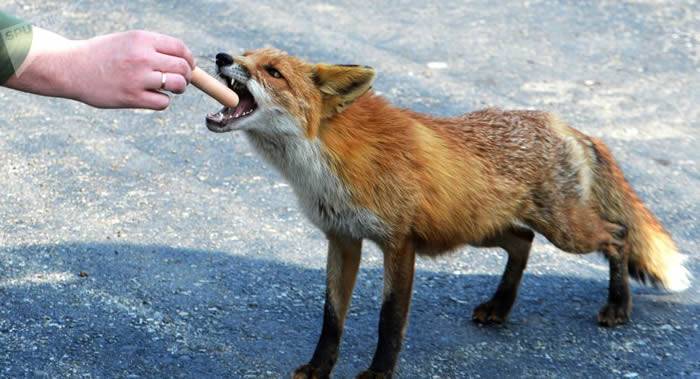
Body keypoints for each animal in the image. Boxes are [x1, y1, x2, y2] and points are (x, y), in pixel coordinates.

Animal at [205, 49, 692, 378]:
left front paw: (379, 373)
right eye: (246, 54)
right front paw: (319, 368)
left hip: (565, 230)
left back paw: (618, 304)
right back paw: (500, 306)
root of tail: (563, 124)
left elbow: (389, 320)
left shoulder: (399, 243)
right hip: (479, 228)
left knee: (618, 233)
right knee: (523, 241)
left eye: (273, 71)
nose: (222, 56)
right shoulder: (342, 238)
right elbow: (331, 319)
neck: (326, 161)